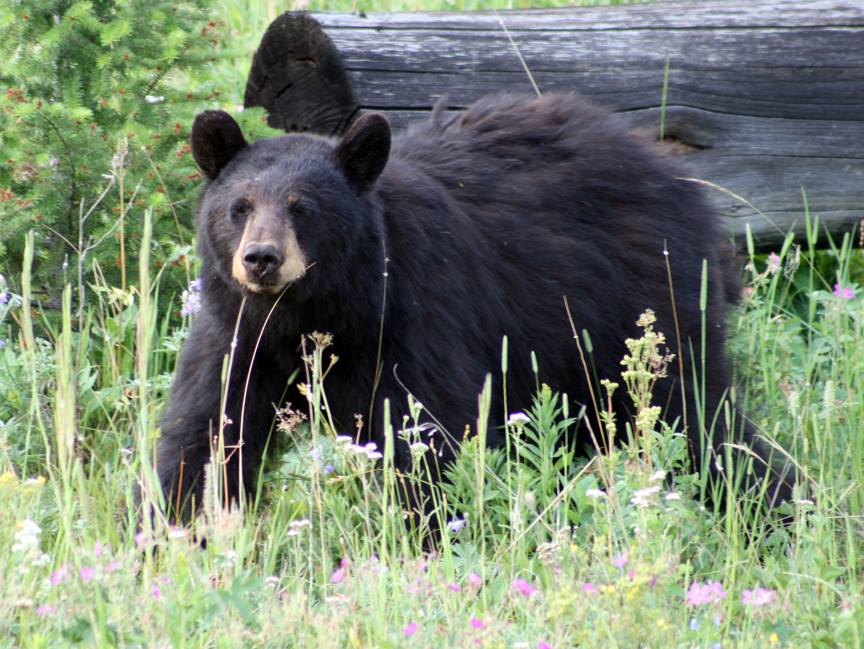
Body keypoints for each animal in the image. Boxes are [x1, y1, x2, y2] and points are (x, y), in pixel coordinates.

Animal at [155, 93, 794, 521]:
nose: (261, 259)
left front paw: (426, 533)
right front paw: (173, 531)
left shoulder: (415, 312)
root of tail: (677, 180)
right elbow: (206, 431)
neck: (313, 314)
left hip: (636, 312)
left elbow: (427, 431)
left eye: (302, 207)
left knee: (695, 417)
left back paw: (771, 509)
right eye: (239, 206)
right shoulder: (237, 335)